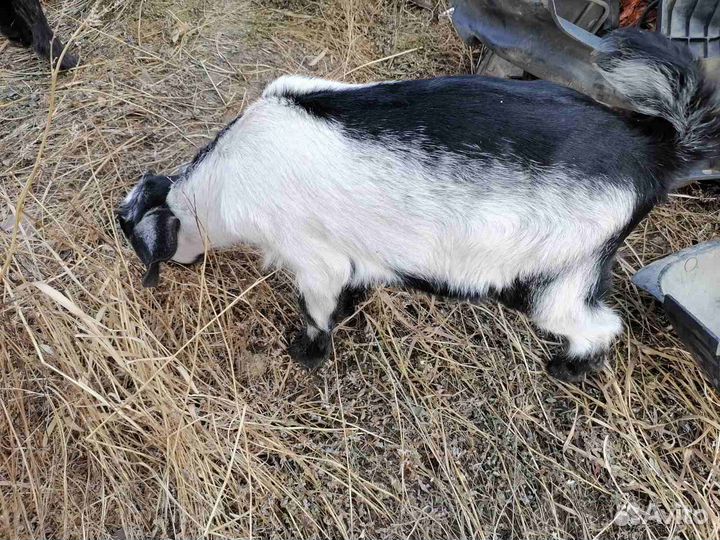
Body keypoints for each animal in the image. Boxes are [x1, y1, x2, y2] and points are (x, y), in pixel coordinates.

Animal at [118, 29, 719, 381]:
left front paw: (305, 352)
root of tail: (652, 152)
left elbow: (318, 303)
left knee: (594, 322)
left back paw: (565, 369)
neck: (225, 180)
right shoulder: (348, 250)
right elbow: (352, 283)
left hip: (561, 266)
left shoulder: (309, 252)